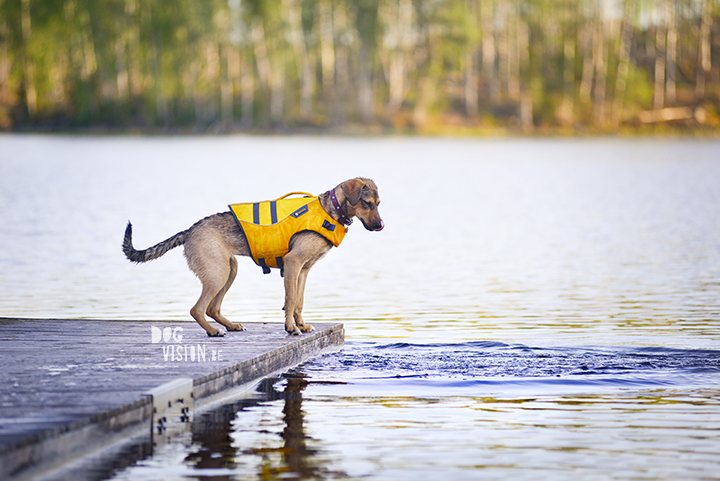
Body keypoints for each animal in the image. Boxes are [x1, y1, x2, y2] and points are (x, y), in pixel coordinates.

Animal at [122, 174, 382, 336]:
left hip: (229, 270)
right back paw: (214, 331)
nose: (381, 225)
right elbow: (290, 300)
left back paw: (231, 326)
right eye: (367, 203)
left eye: (378, 203)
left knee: (212, 308)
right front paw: (291, 328)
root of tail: (190, 230)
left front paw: (301, 325)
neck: (331, 210)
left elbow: (299, 301)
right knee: (197, 309)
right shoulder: (293, 262)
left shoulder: (304, 269)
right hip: (218, 273)